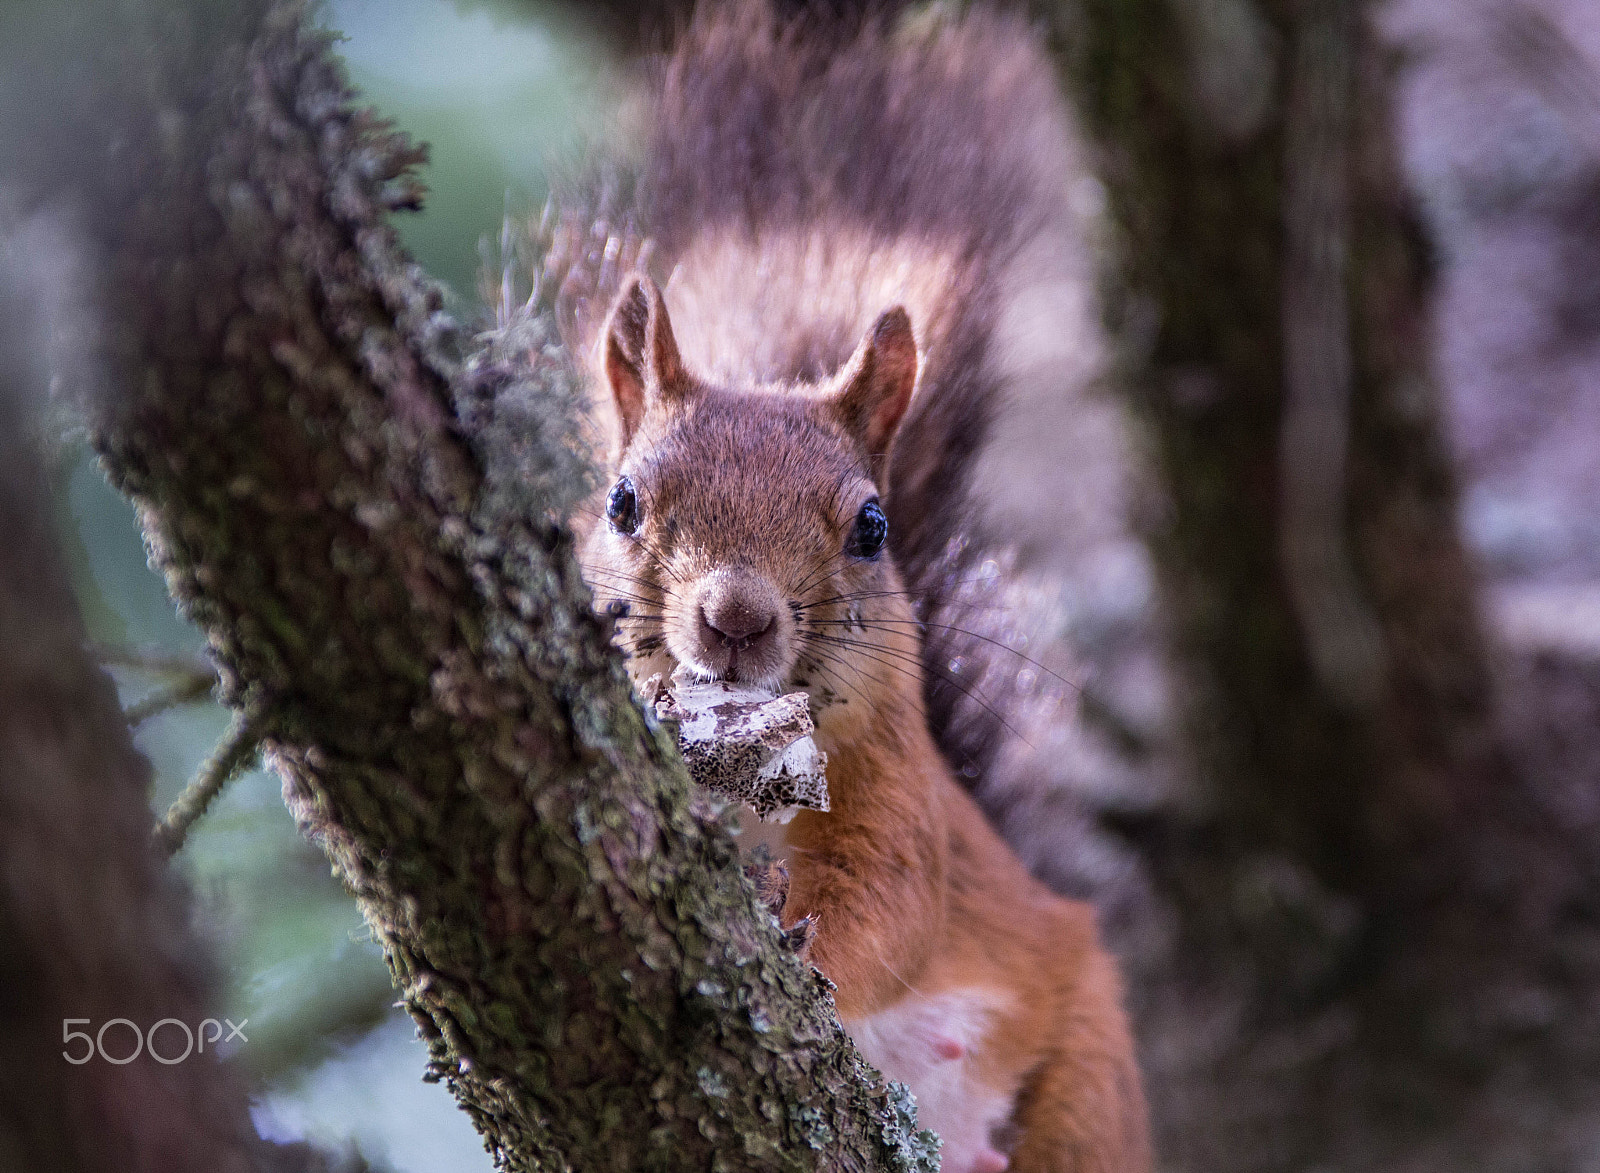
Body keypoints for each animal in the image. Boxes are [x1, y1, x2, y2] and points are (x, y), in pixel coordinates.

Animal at [550, 4, 1152, 1164]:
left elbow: (888, 904)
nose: (735, 616)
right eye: (621, 502)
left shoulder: (901, 797)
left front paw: (807, 951)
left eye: (873, 526)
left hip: (1088, 1083)